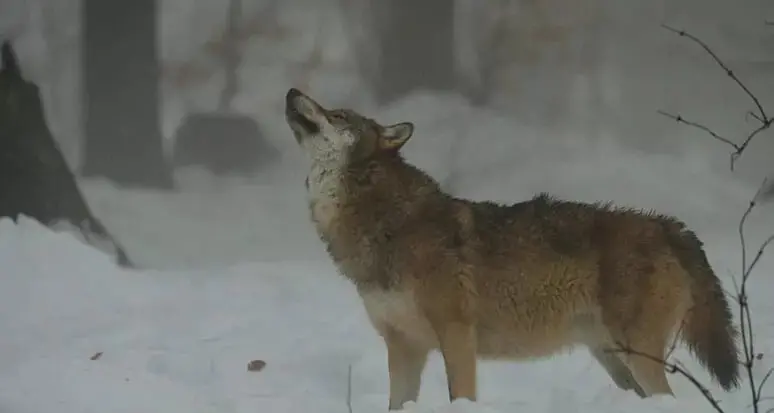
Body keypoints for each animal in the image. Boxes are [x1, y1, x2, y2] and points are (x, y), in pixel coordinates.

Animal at [283, 88, 740, 410]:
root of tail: (669, 225)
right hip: (614, 361)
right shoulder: (403, 346)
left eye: (337, 115)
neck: (386, 221)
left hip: (637, 356)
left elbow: (460, 396)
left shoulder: (456, 335)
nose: (291, 91)